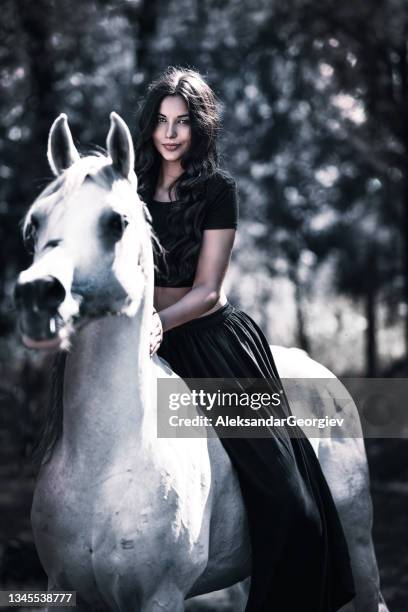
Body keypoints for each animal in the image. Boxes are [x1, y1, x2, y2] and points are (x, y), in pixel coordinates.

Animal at [13, 113, 388, 612]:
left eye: (116, 222)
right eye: (35, 224)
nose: (37, 296)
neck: (105, 457)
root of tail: (322, 374)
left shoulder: (161, 596)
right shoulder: (66, 591)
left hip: (359, 549)